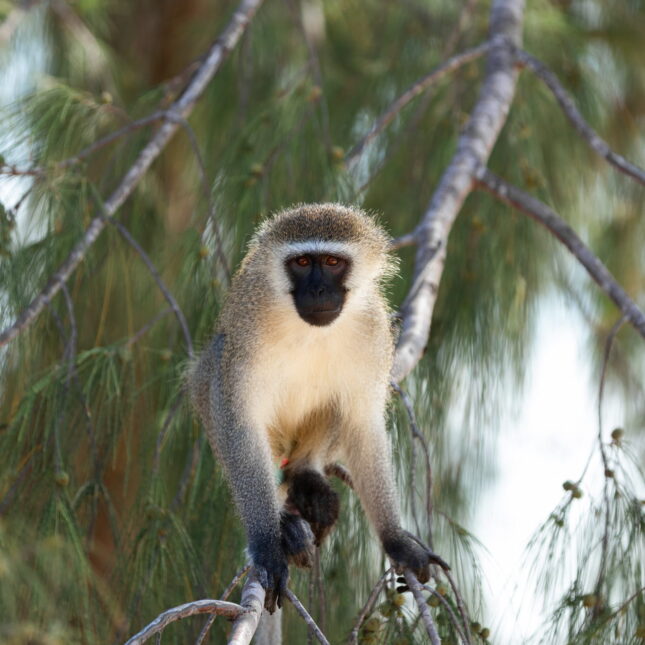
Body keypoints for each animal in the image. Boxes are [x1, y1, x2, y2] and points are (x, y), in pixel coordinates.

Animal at [189, 203, 448, 612]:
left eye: (331, 262)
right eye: (302, 262)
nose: (318, 289)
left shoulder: (373, 331)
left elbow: (363, 423)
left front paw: (396, 539)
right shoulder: (247, 329)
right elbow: (238, 421)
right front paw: (268, 543)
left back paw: (305, 476)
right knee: (214, 364)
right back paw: (286, 523)